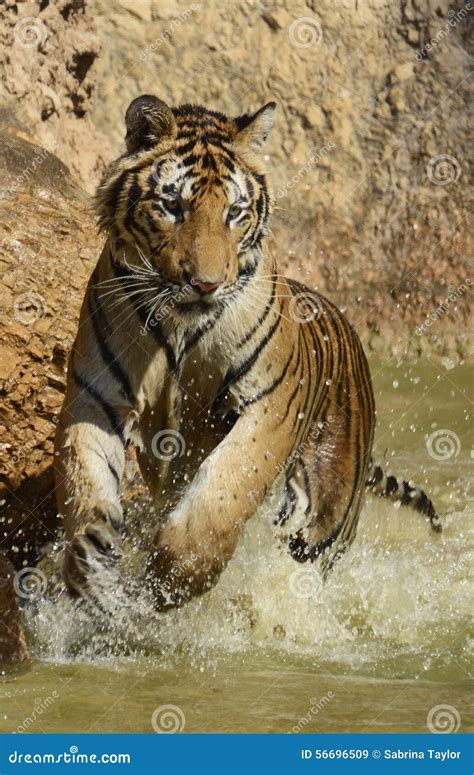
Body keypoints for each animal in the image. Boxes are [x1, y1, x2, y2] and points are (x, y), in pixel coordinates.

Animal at [51, 95, 440, 608]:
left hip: (324, 519)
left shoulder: (271, 404)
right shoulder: (95, 395)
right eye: (172, 206)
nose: (205, 284)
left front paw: (175, 576)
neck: (180, 325)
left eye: (234, 212)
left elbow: (226, 487)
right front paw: (92, 569)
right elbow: (84, 478)